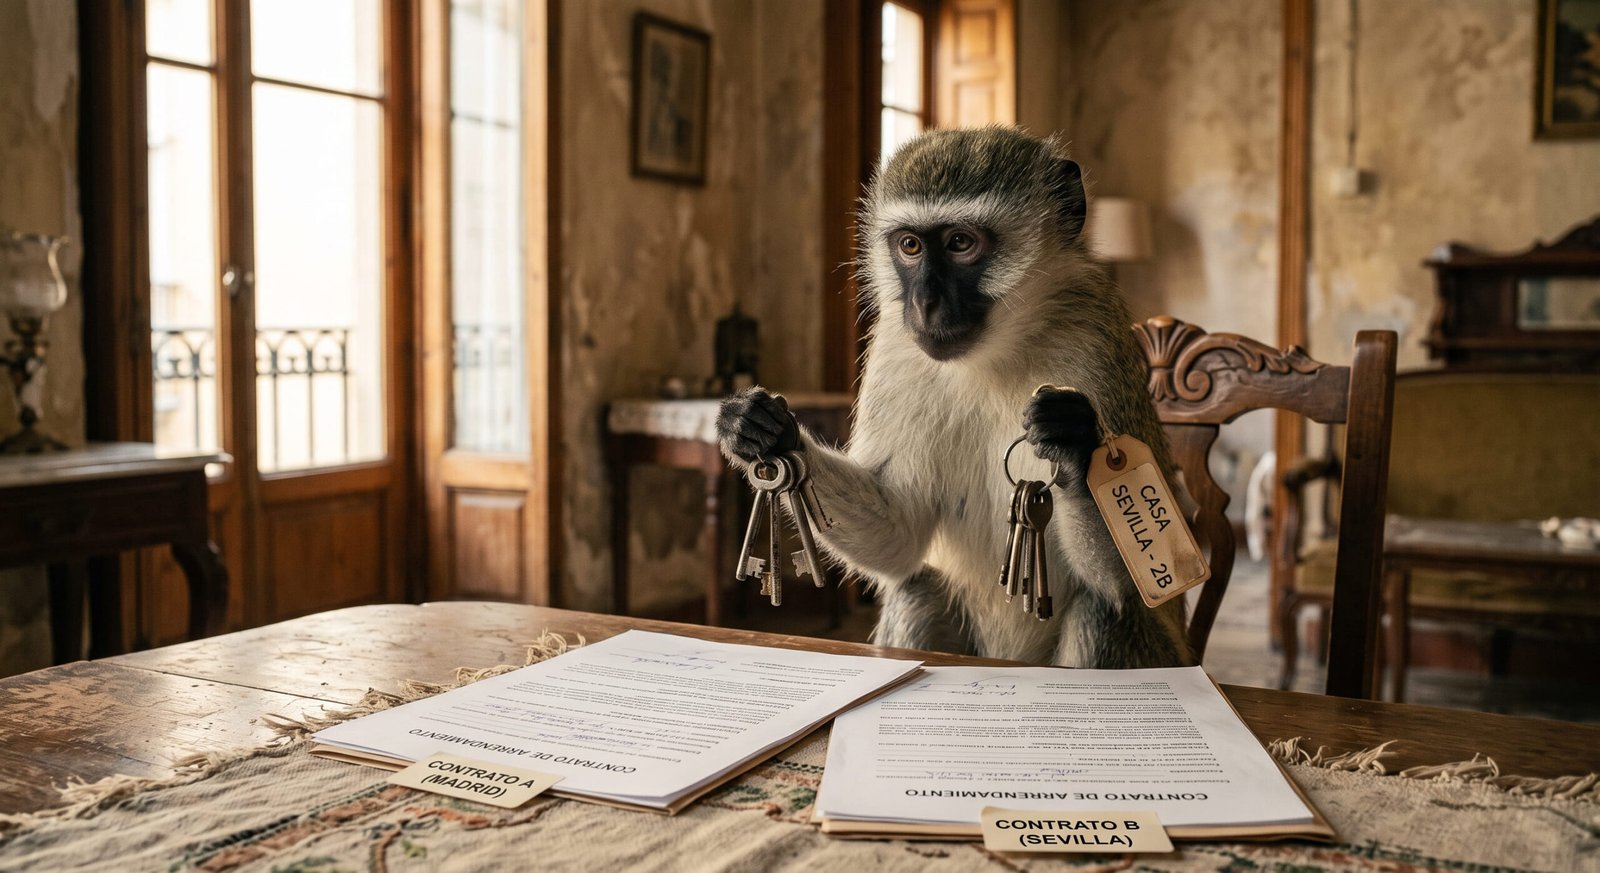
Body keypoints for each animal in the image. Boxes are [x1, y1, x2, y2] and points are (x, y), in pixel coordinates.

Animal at [717, 127, 1194, 669]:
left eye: (961, 243)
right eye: (909, 245)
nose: (924, 304)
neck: (996, 352)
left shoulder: (1093, 342)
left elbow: (1127, 583)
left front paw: (1074, 442)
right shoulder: (896, 345)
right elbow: (901, 532)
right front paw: (763, 431)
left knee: (1104, 612)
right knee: (918, 590)